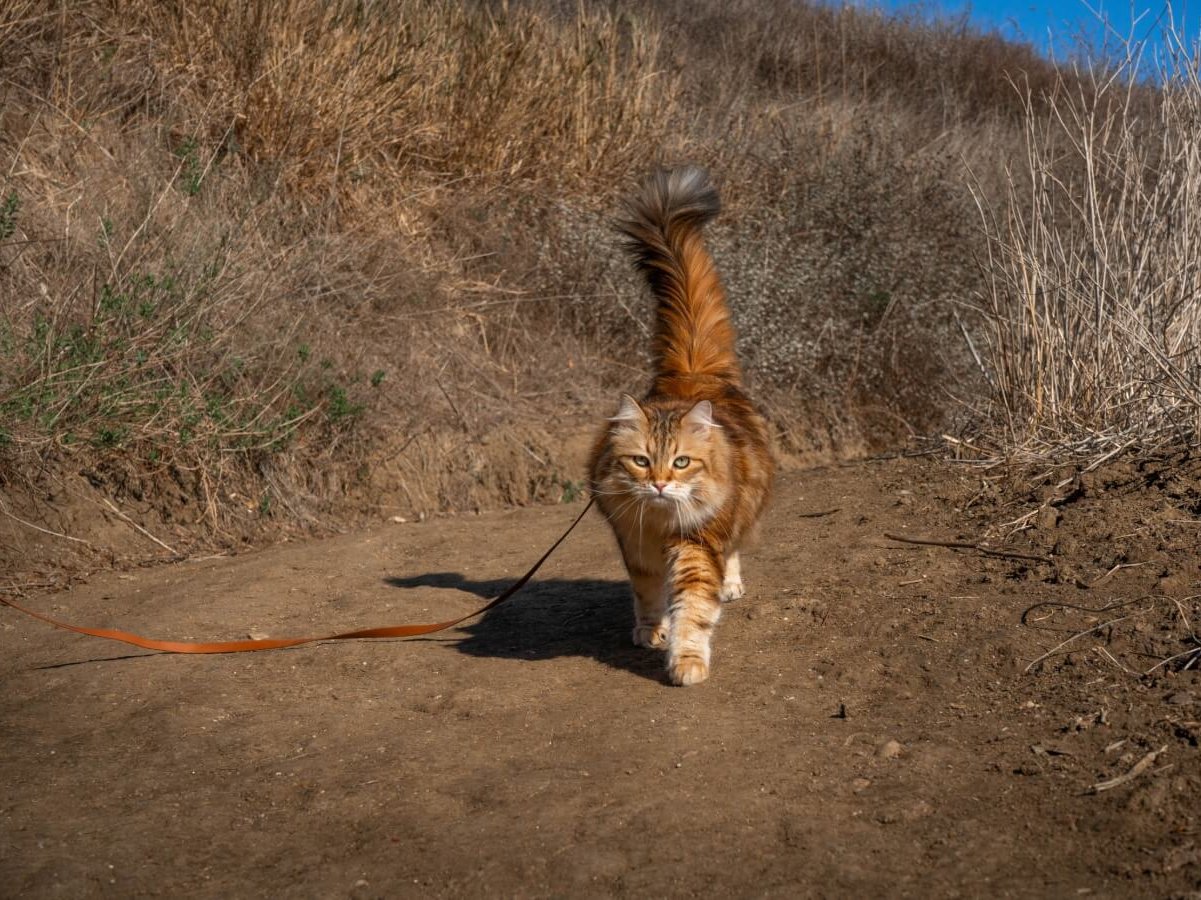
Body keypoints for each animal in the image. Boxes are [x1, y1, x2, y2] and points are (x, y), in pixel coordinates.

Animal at [586, 168, 773, 682]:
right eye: (641, 461)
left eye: (682, 462)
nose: (660, 484)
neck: (660, 524)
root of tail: (692, 372)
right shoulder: (636, 547)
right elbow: (648, 596)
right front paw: (651, 632)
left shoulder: (697, 545)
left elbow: (693, 609)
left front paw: (686, 662)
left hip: (737, 514)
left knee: (733, 552)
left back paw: (732, 585)